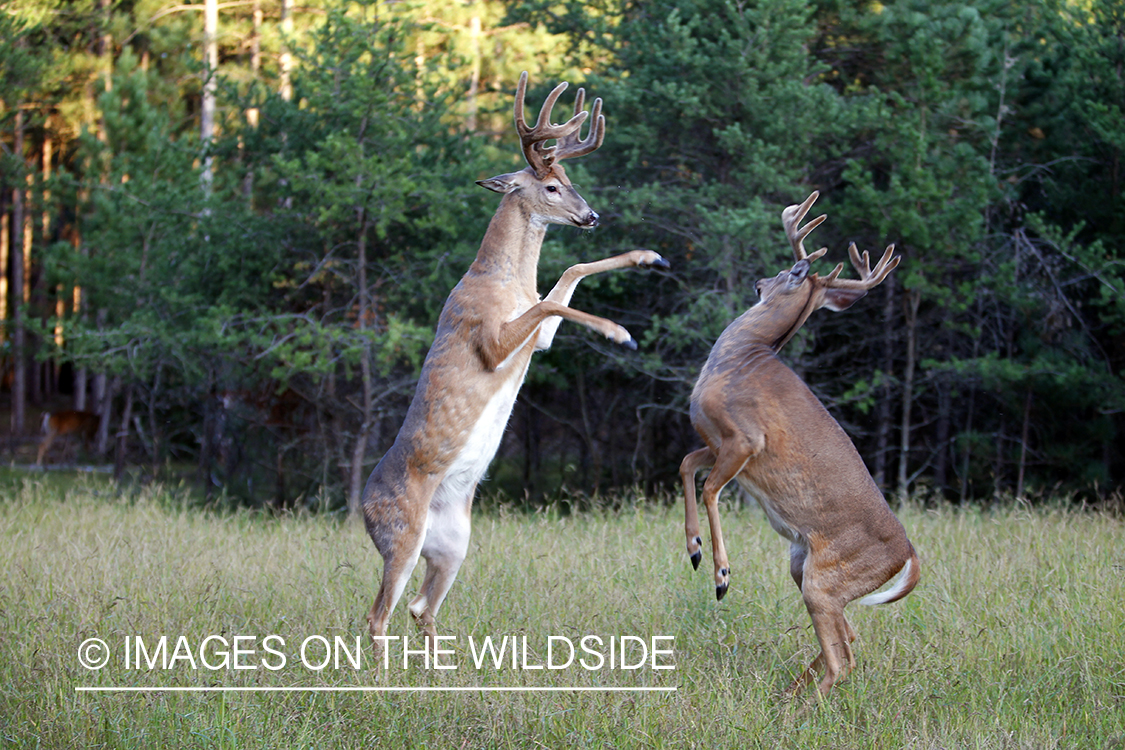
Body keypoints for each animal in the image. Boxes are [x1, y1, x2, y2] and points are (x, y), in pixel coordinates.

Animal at [360, 73, 661, 652]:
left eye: (568, 176)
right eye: (550, 187)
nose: (592, 215)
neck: (501, 279)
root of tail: (361, 507)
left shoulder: (538, 338)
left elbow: (567, 274)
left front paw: (647, 256)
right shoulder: (489, 338)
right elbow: (550, 300)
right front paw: (620, 332)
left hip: (454, 544)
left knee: (419, 607)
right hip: (400, 536)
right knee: (377, 617)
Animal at [679, 191, 918, 697]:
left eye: (790, 271)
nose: (758, 281)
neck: (741, 355)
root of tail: (908, 554)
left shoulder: (745, 438)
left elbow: (709, 488)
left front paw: (721, 574)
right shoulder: (716, 441)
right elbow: (687, 465)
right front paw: (693, 548)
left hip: (823, 580)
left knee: (843, 658)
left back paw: (800, 706)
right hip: (805, 568)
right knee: (850, 638)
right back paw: (789, 694)